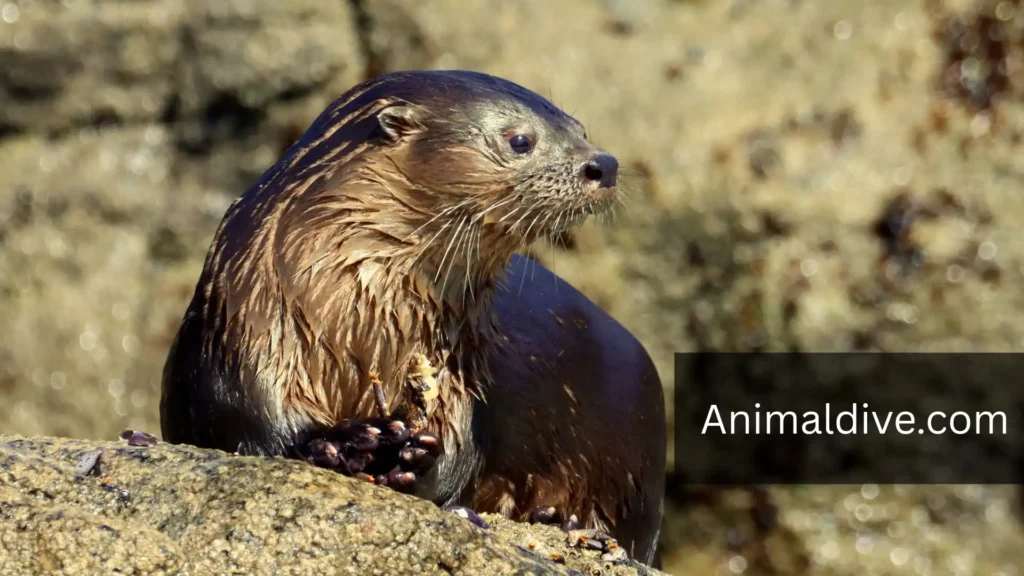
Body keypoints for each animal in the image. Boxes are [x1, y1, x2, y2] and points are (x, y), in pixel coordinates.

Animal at [160, 70, 666, 564]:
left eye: (582, 130)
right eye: (520, 140)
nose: (604, 164)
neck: (360, 327)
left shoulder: (460, 370)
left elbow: (459, 456)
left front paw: (410, 456)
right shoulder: (243, 326)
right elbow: (249, 423)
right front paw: (342, 442)